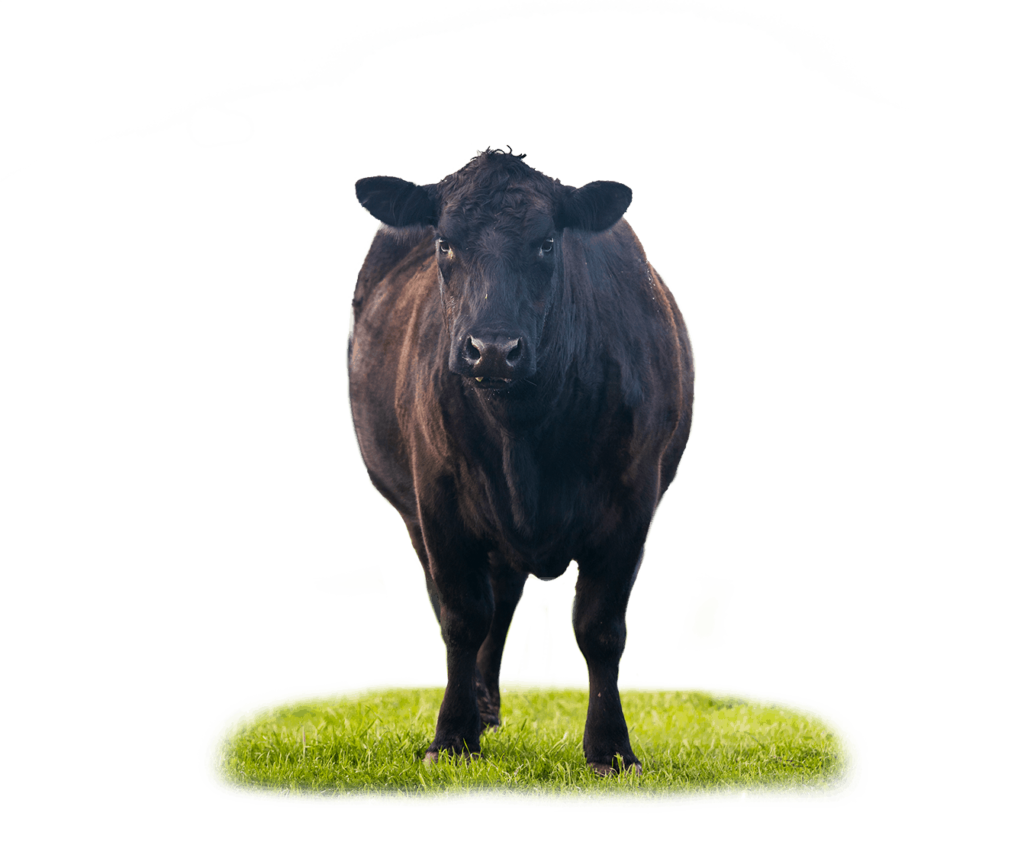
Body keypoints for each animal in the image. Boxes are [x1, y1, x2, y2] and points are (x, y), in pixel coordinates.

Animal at [347, 149, 696, 776]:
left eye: (546, 243)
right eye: (445, 243)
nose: (492, 350)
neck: (524, 435)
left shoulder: (632, 500)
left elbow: (600, 627)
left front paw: (610, 749)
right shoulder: (438, 500)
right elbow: (462, 616)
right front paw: (451, 737)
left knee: (505, 598)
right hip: (419, 511)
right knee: (476, 605)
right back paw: (479, 709)